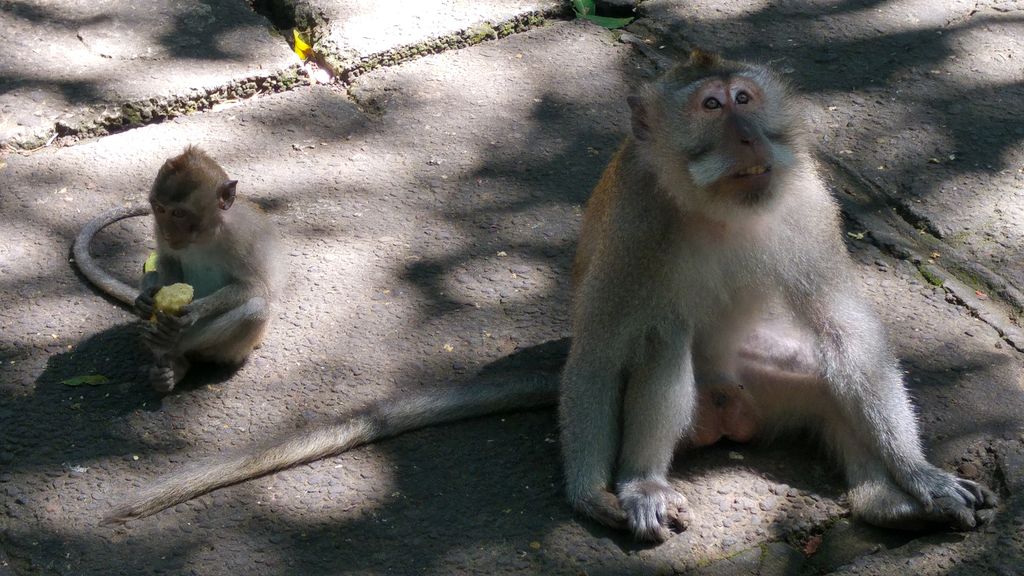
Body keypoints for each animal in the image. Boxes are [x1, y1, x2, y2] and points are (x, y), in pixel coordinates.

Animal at [72, 145, 282, 391]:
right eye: (160, 209)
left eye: (179, 213)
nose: (167, 232)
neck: (205, 235)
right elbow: (168, 260)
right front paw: (145, 300)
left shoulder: (243, 236)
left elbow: (256, 286)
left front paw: (194, 311)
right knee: (153, 273)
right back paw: (168, 360)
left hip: (232, 348)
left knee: (255, 310)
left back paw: (173, 346)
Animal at [99, 52, 995, 537]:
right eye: (712, 106)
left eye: (747, 99)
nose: (748, 136)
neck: (715, 206)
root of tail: (735, 411)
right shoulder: (638, 218)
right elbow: (599, 355)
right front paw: (591, 496)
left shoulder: (806, 197)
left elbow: (845, 336)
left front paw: (920, 479)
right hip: (704, 402)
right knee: (660, 341)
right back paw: (641, 484)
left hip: (774, 388)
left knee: (820, 371)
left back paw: (886, 502)